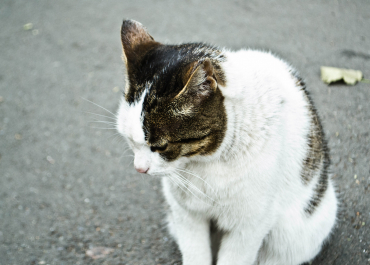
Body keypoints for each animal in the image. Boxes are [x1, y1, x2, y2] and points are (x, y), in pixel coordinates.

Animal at [116, 20, 338, 264]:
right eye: (129, 141)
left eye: (161, 146)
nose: (139, 168)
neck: (206, 163)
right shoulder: (186, 214)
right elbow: (195, 253)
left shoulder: (249, 223)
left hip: (294, 236)